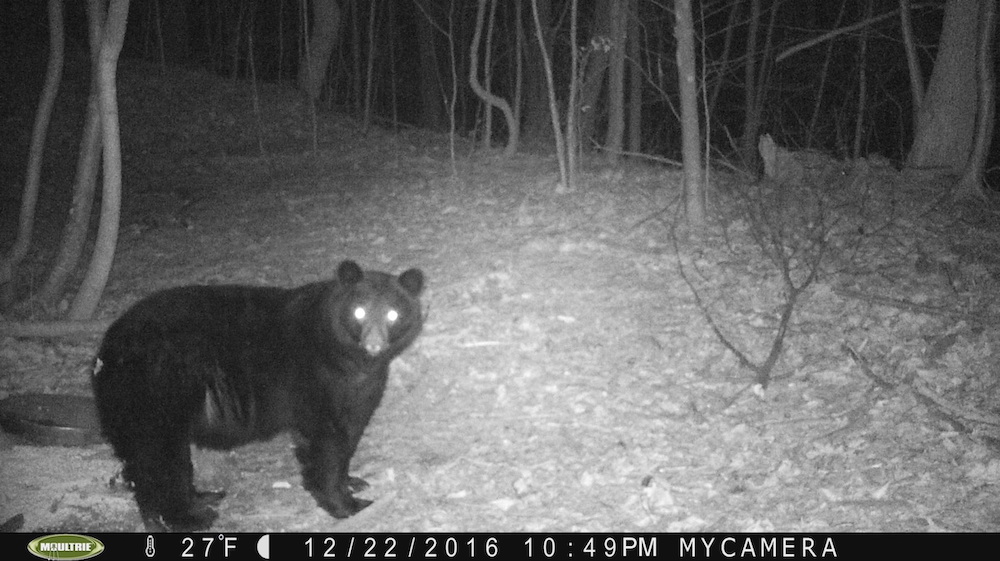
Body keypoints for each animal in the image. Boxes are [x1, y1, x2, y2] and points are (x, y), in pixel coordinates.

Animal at [91, 260, 424, 531]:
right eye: (359, 311)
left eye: (393, 313)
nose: (374, 344)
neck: (352, 360)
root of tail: (106, 351)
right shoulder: (318, 378)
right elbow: (327, 439)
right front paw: (348, 504)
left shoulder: (358, 387)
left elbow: (350, 428)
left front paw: (353, 481)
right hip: (158, 391)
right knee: (159, 457)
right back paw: (187, 518)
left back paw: (201, 498)